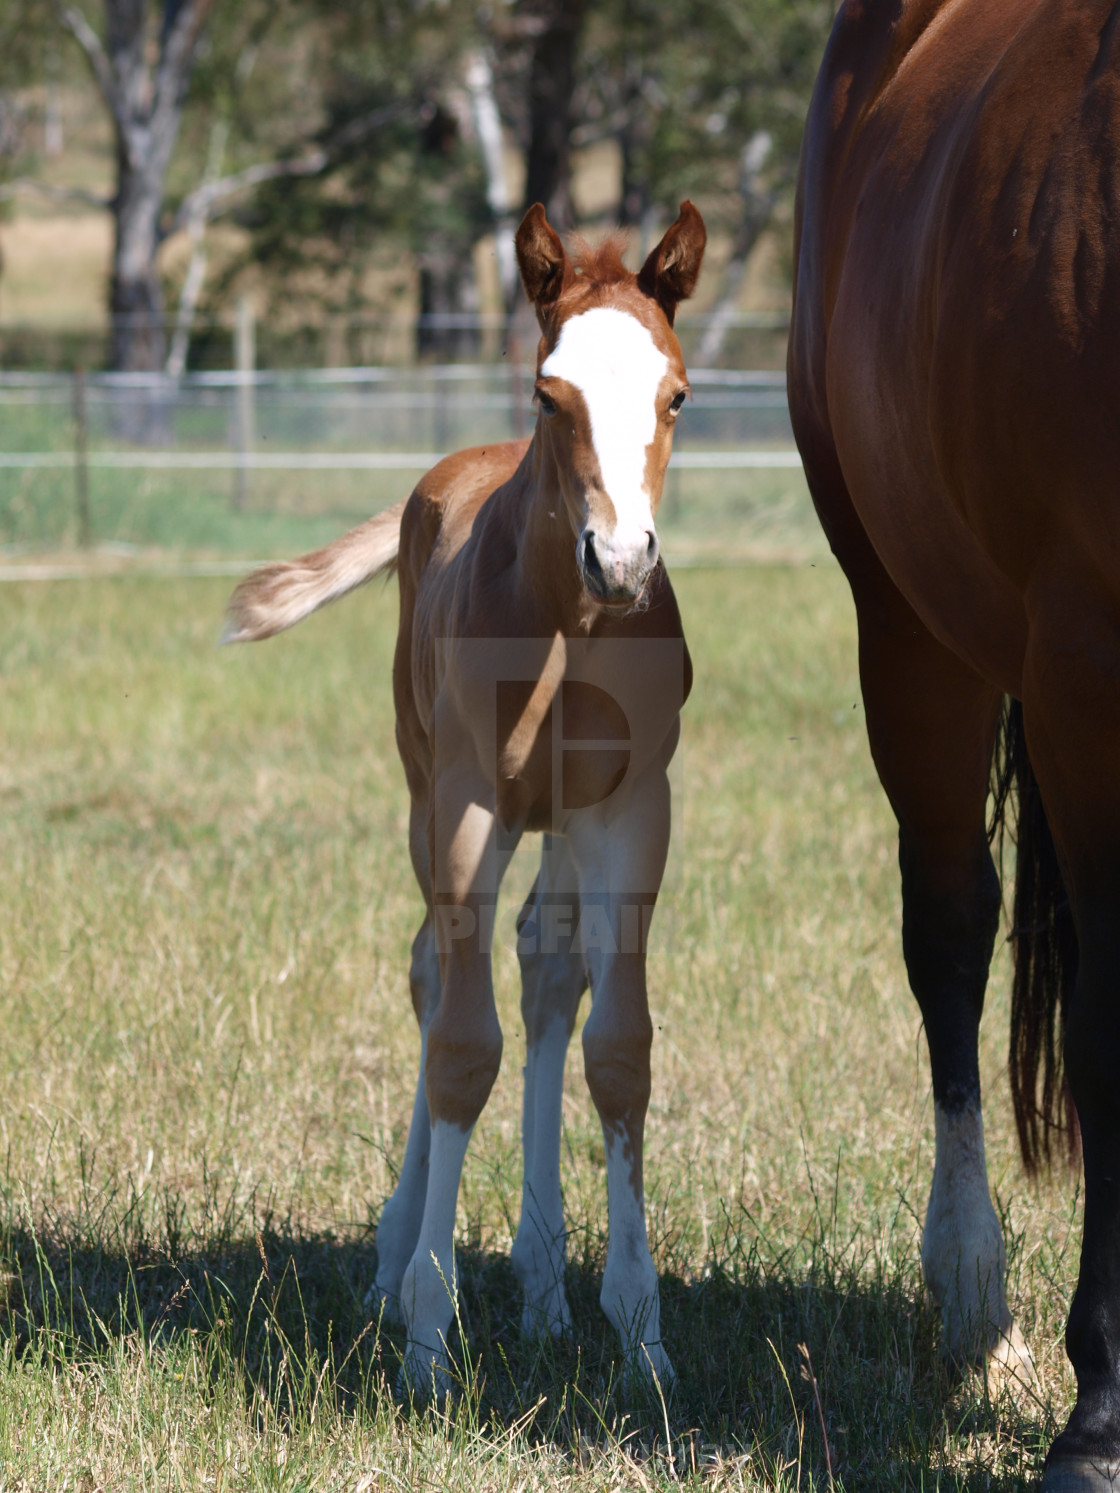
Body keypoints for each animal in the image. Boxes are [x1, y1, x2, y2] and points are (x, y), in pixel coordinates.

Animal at [225, 198, 710, 1385]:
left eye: (677, 394)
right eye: (550, 393)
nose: (621, 562)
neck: (564, 624)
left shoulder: (631, 810)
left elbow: (617, 1046)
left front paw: (642, 1333)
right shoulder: (468, 807)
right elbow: (459, 1045)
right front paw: (428, 1334)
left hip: (562, 822)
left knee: (546, 964)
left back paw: (542, 1284)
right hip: (424, 792)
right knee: (431, 973)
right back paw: (398, 1258)